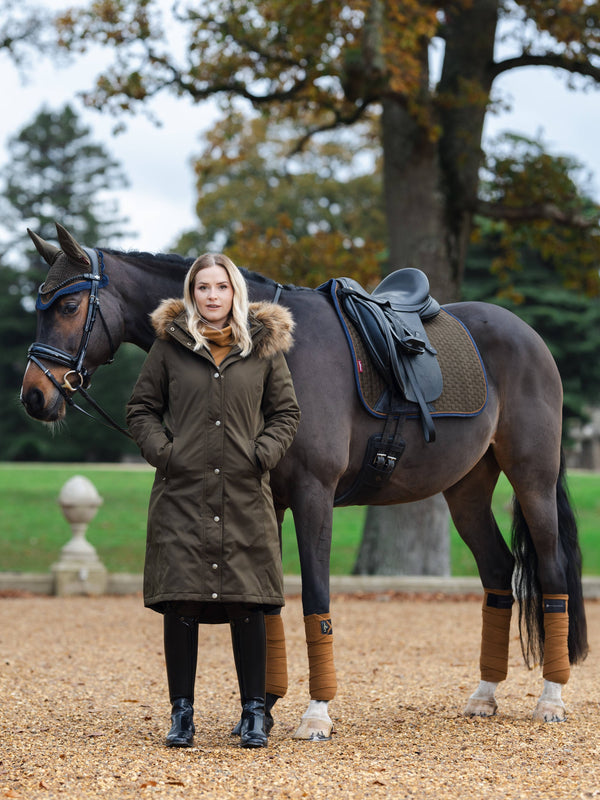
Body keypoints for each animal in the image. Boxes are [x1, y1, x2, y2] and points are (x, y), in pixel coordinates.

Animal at [21, 222, 588, 740]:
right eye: (40, 307)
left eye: (68, 307)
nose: (33, 397)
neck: (275, 351)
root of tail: (528, 336)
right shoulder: (267, 501)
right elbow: (266, 605)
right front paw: (262, 710)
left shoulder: (314, 496)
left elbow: (316, 598)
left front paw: (316, 714)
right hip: (467, 491)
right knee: (499, 572)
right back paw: (485, 695)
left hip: (533, 479)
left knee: (551, 571)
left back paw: (551, 699)